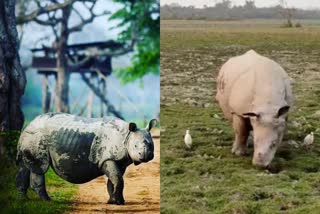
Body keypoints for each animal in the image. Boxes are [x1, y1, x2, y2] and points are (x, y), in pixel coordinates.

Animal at [15, 112, 158, 204]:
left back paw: (23, 199)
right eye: (135, 146)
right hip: (35, 136)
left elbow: (113, 180)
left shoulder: (118, 160)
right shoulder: (107, 158)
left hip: (29, 137)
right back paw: (48, 201)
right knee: (40, 167)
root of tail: (28, 125)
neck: (127, 136)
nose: (146, 156)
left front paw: (112, 201)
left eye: (151, 145)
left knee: (25, 166)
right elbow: (117, 178)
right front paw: (118, 202)